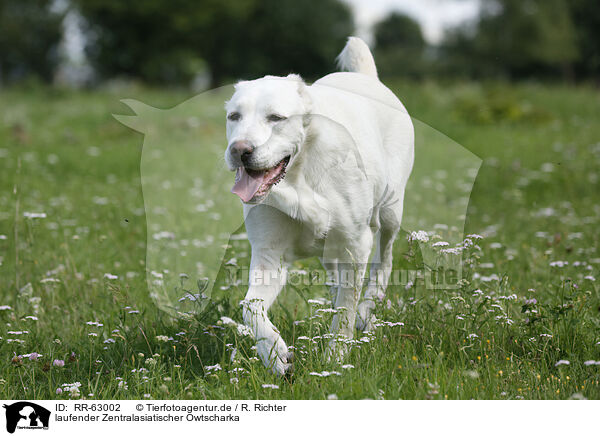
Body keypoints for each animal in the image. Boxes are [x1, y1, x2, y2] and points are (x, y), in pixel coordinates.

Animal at [223, 36, 414, 374]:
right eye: (234, 117)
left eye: (276, 118)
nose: (239, 150)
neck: (299, 178)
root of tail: (368, 78)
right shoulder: (269, 255)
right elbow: (250, 308)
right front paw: (275, 355)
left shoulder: (355, 244)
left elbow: (347, 310)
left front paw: (336, 356)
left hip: (391, 209)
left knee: (385, 260)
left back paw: (369, 308)